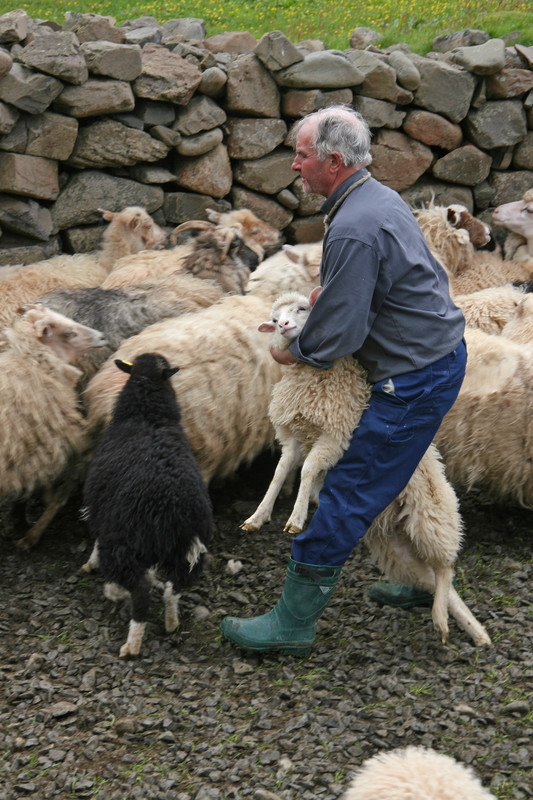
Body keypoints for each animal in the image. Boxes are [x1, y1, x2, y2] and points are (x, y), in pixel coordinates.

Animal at [80, 354, 212, 660]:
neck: (148, 417)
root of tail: (176, 508)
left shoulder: (101, 506)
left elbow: (95, 538)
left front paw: (91, 564)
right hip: (187, 550)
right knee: (173, 589)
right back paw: (171, 622)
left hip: (125, 544)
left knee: (140, 594)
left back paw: (130, 640)